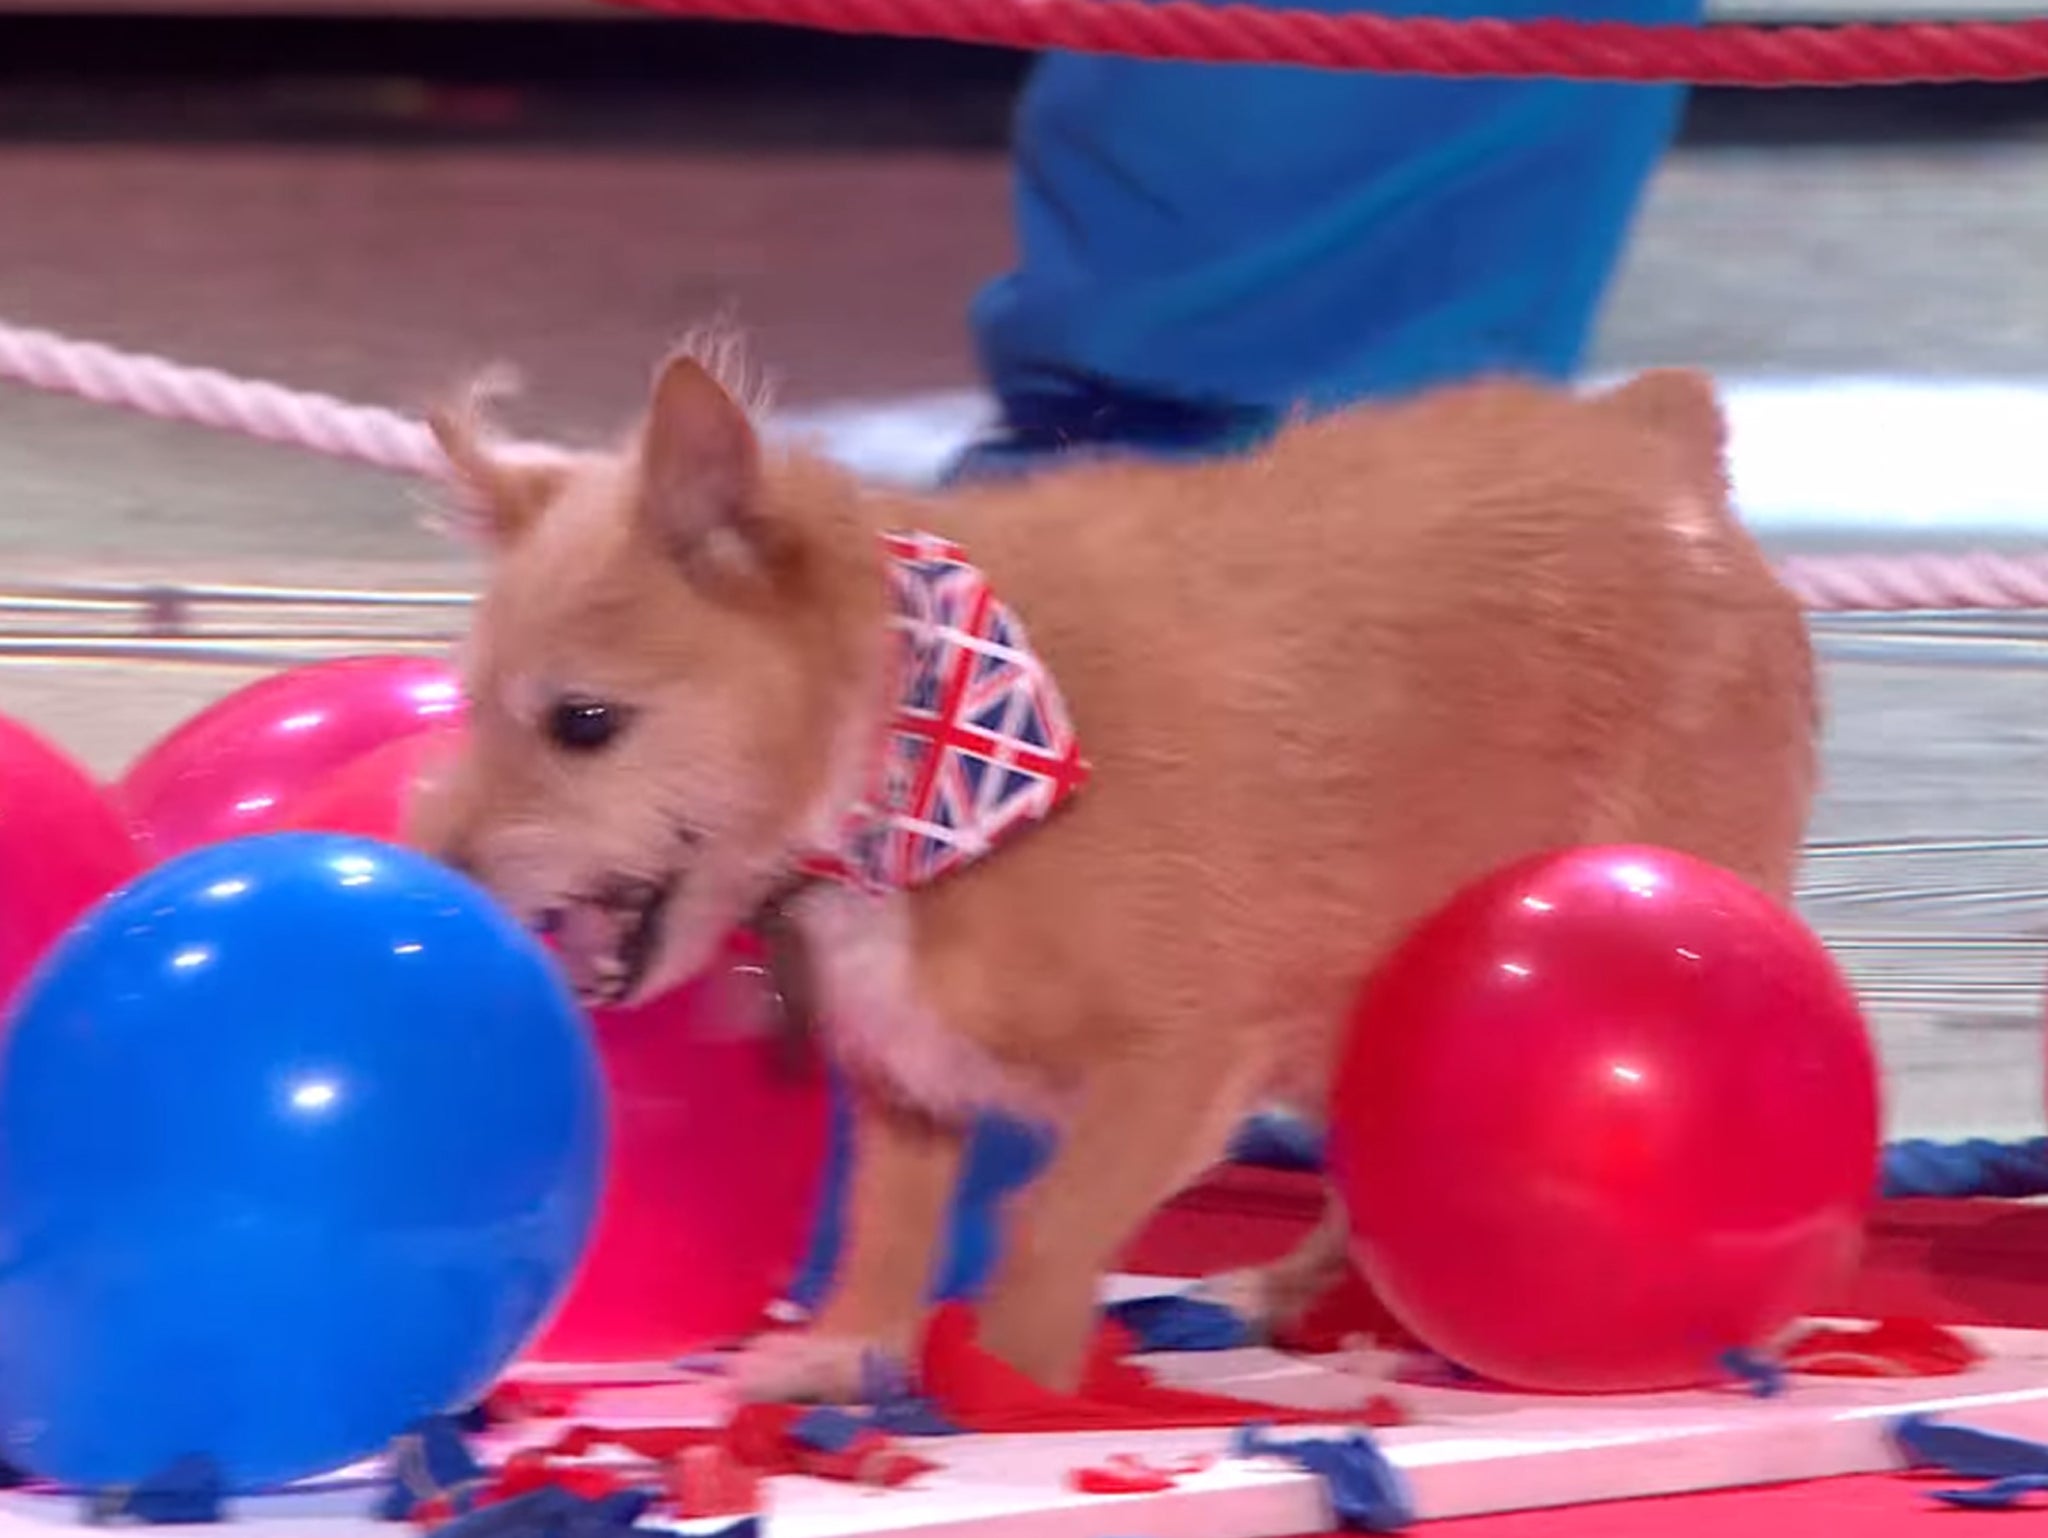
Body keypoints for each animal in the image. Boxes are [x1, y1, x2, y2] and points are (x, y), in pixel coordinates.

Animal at [407, 346, 1818, 1408]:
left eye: (583, 723)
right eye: (474, 705)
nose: (440, 874)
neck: (912, 747)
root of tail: (1653, 438)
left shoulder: (1176, 1068)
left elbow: (1047, 1226)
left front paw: (1012, 1387)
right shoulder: (908, 1080)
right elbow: (888, 1221)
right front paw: (850, 1349)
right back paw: (1283, 1292)